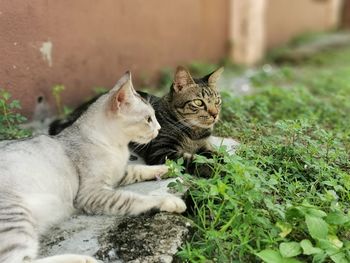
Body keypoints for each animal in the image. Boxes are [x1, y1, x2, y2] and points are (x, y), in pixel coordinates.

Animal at [0, 72, 186, 263]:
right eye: (148, 119)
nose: (159, 128)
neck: (118, 147)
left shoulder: (118, 173)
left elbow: (138, 170)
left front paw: (168, 168)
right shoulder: (91, 194)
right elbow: (132, 198)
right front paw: (169, 201)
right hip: (15, 216)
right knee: (17, 260)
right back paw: (82, 259)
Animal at [49, 66, 223, 177]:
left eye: (217, 101)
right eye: (199, 102)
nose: (215, 114)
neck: (194, 133)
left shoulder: (204, 146)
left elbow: (218, 155)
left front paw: (226, 163)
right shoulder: (162, 151)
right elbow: (194, 161)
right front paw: (218, 170)